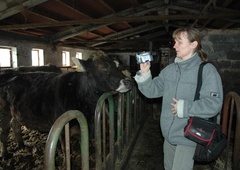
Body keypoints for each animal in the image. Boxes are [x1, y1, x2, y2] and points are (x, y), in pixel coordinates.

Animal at [0, 50, 131, 158]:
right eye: (103, 68)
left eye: (117, 65)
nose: (128, 81)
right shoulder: (62, 129)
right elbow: (65, 149)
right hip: (4, 113)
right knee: (4, 131)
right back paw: (5, 154)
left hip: (17, 112)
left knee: (15, 124)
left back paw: (21, 144)